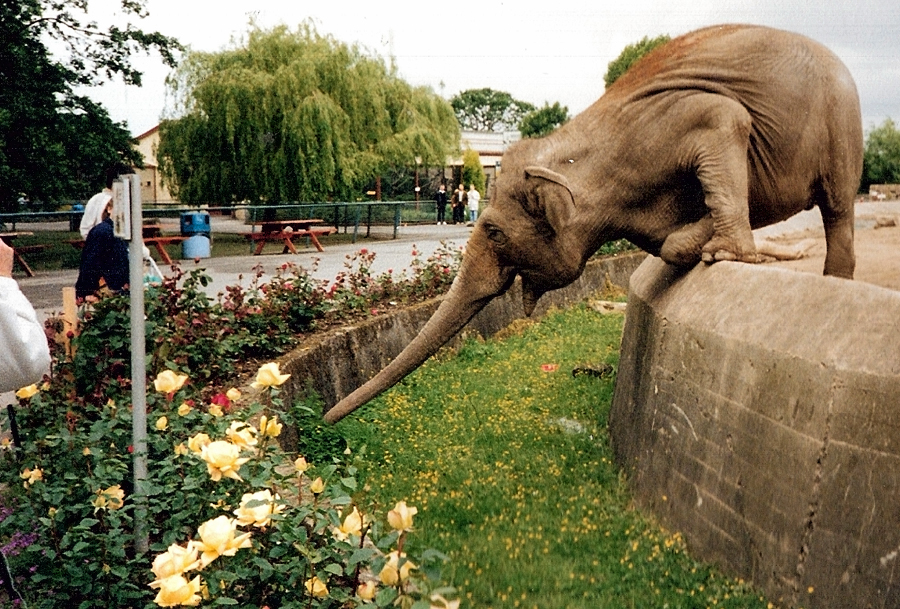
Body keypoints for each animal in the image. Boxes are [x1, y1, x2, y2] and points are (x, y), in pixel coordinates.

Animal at [323, 24, 863, 423]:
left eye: (493, 232)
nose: (324, 421)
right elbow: (667, 246)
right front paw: (699, 239)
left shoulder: (682, 121)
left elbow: (726, 118)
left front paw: (725, 252)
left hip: (842, 130)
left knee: (838, 210)